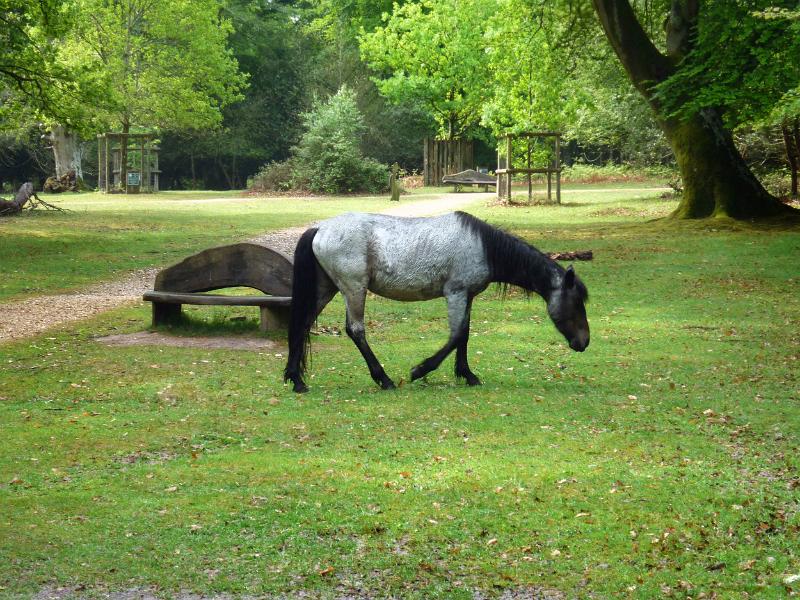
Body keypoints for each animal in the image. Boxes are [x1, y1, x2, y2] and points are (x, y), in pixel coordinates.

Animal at [283, 211, 589, 393]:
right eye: (576, 303)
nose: (584, 342)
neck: (483, 246)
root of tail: (320, 228)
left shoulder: (467, 296)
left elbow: (465, 335)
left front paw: (467, 375)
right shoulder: (456, 293)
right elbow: (456, 335)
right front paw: (420, 370)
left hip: (327, 288)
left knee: (302, 323)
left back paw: (296, 380)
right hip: (354, 288)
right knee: (355, 330)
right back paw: (384, 379)